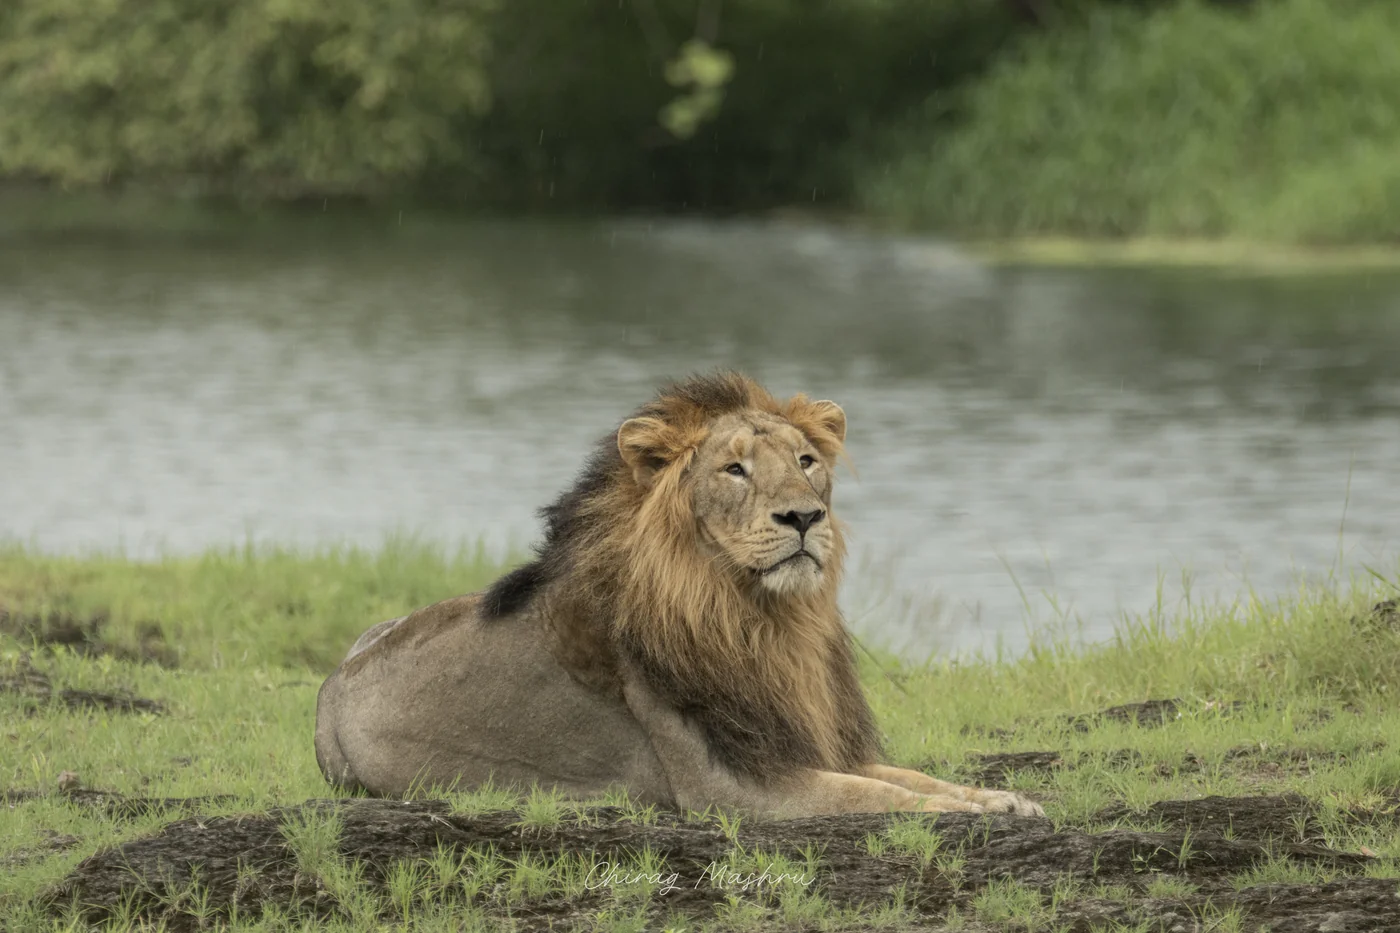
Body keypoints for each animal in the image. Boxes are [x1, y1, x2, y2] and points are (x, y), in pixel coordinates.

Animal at [314, 372, 1043, 819]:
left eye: (805, 461)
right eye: (735, 468)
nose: (804, 517)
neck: (765, 619)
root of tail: (331, 682)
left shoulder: (805, 743)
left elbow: (904, 777)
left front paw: (1000, 798)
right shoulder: (731, 789)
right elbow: (874, 797)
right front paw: (968, 811)